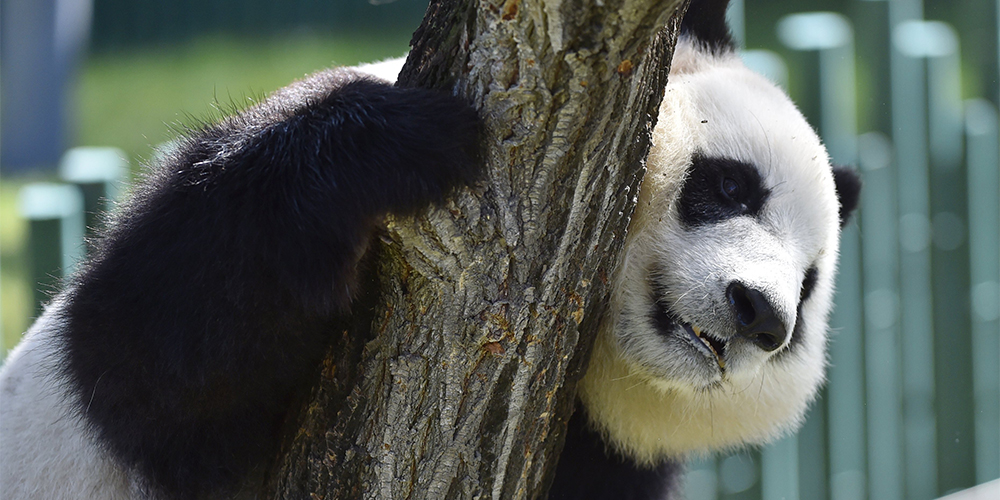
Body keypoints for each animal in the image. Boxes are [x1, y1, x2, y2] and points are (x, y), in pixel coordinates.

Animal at [0, 0, 860, 498]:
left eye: (809, 286)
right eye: (730, 185)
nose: (760, 316)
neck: (598, 364)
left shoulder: (608, 455)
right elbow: (160, 357)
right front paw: (410, 143)